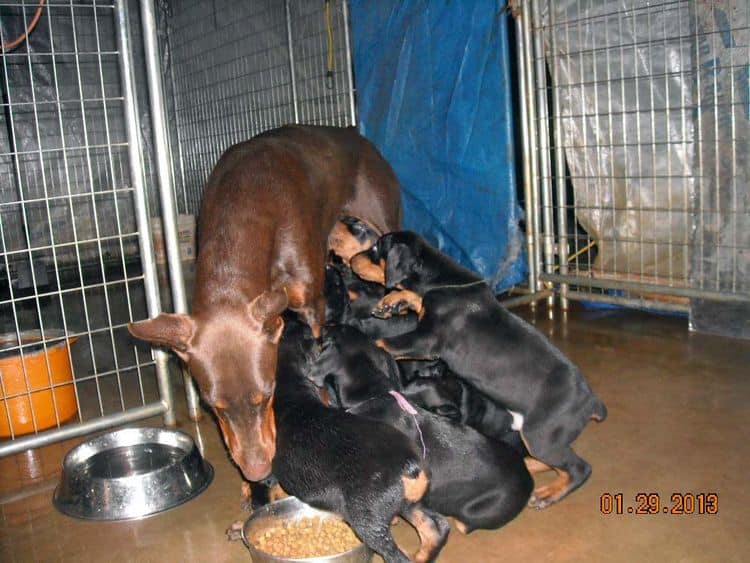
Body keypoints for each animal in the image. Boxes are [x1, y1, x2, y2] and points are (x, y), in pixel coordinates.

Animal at [129, 125, 402, 482]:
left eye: (268, 394)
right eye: (214, 407)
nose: (257, 472)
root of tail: (354, 134)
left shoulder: (311, 307)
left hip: (384, 217)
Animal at [268, 318, 450, 563]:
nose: (295, 319)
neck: (293, 390)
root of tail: (411, 467)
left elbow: (275, 488)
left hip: (368, 517)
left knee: (397, 553)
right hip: (409, 503)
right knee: (436, 527)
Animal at [356, 234, 608, 512]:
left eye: (376, 247)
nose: (350, 259)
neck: (443, 282)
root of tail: (592, 403)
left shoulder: (427, 341)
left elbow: (383, 341)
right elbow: (416, 300)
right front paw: (392, 301)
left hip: (541, 435)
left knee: (579, 468)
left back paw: (548, 494)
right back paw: (529, 465)